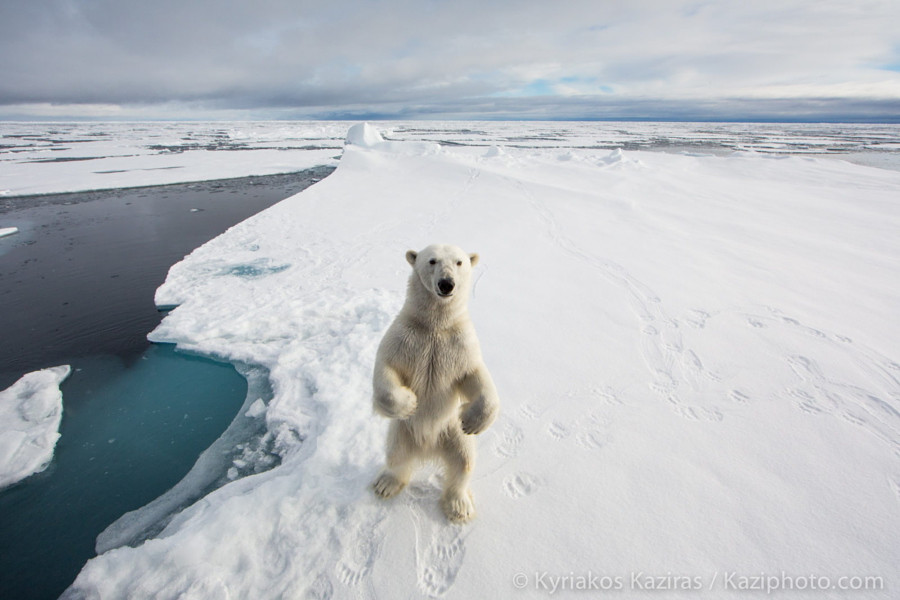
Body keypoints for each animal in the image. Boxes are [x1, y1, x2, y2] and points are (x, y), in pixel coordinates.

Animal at [370, 244, 500, 520]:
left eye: (459, 262)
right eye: (432, 261)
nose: (446, 283)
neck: (435, 325)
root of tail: (427, 448)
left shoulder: (460, 343)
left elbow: (475, 375)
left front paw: (473, 421)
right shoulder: (404, 337)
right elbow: (387, 367)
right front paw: (409, 402)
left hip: (451, 432)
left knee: (463, 462)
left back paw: (459, 505)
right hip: (402, 431)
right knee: (396, 456)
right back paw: (386, 484)